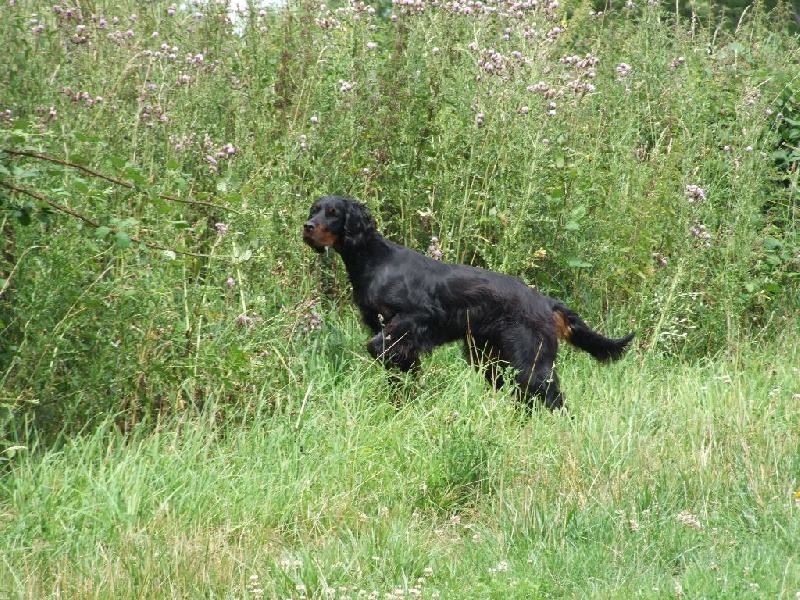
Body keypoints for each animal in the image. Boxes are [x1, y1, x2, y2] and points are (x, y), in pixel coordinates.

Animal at [304, 195, 636, 410]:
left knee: (553, 400)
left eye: (332, 212)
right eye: (315, 209)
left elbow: (377, 346)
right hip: (490, 358)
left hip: (529, 360)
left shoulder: (415, 318)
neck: (373, 260)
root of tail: (544, 301)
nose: (307, 226)